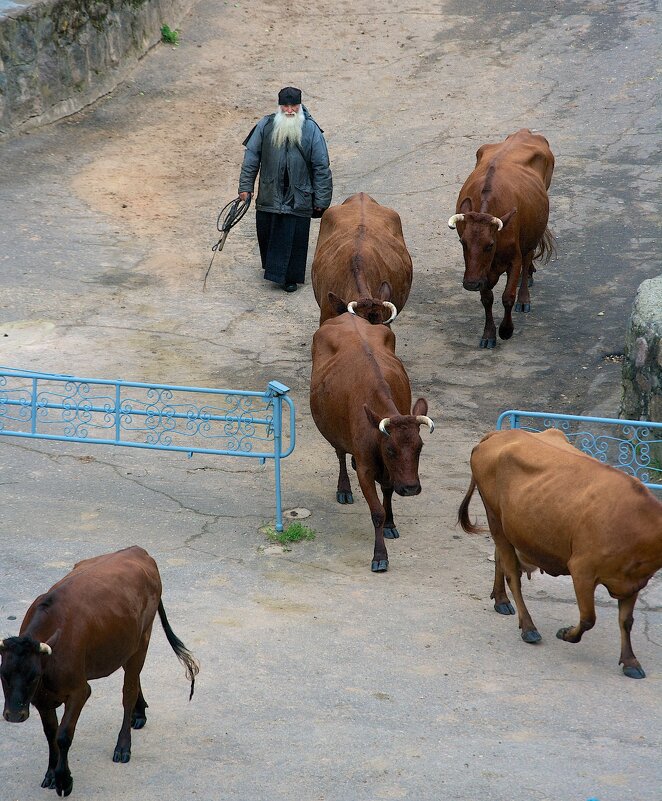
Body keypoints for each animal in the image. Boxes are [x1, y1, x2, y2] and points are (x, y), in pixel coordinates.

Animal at [0, 544, 200, 792]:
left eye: (33, 675)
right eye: (2, 674)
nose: (14, 715)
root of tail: (138, 551)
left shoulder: (79, 691)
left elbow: (63, 735)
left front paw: (64, 779)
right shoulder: (40, 699)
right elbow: (51, 733)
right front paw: (51, 773)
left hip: (143, 639)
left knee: (128, 691)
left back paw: (123, 745)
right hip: (125, 644)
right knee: (134, 676)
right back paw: (139, 712)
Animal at [312, 310, 436, 568]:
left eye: (419, 448)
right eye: (390, 450)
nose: (411, 488)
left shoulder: (391, 474)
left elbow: (388, 494)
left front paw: (390, 523)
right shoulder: (367, 470)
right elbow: (377, 511)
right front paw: (380, 556)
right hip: (335, 432)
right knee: (341, 455)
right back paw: (344, 488)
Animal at [448, 128, 556, 346]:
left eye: (490, 245)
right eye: (463, 243)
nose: (470, 284)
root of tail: (524, 132)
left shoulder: (513, 259)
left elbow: (508, 296)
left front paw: (506, 330)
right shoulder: (480, 272)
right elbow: (487, 299)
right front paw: (488, 334)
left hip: (531, 234)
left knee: (528, 258)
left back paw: (525, 296)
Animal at [460, 428, 662, 680]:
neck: (638, 524)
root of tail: (501, 433)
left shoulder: (633, 581)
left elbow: (626, 621)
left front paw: (630, 661)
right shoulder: (582, 569)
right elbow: (588, 618)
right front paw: (566, 633)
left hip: (509, 527)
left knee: (499, 559)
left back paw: (501, 600)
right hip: (494, 517)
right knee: (513, 575)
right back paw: (529, 628)